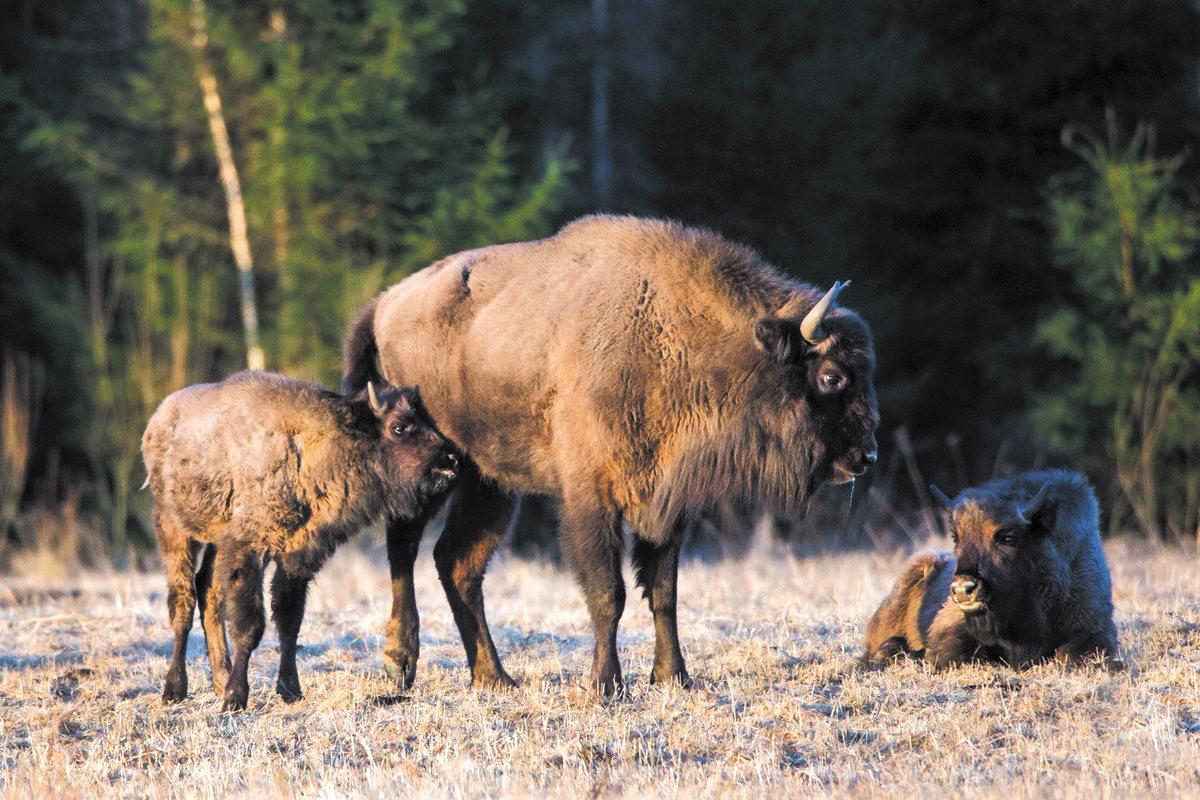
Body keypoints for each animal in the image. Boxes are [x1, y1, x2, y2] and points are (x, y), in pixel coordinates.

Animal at [141, 371, 458, 710]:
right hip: (174, 530)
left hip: (216, 539)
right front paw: (236, 697)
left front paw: (290, 690)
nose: (450, 460)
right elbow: (250, 625)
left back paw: (218, 679)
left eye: (426, 419)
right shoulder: (248, 549)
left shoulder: (299, 554)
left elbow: (289, 620)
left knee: (207, 591)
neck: (312, 447)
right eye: (399, 427)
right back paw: (175, 689)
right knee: (182, 602)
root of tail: (157, 422)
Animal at [343, 214, 878, 695]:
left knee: (457, 561)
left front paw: (675, 677)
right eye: (832, 376)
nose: (866, 455)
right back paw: (400, 662)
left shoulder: (665, 500)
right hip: (434, 467)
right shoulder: (592, 496)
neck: (672, 333)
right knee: (404, 544)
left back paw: (495, 678)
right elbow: (608, 592)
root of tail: (384, 305)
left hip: (488, 482)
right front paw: (606, 685)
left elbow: (663, 590)